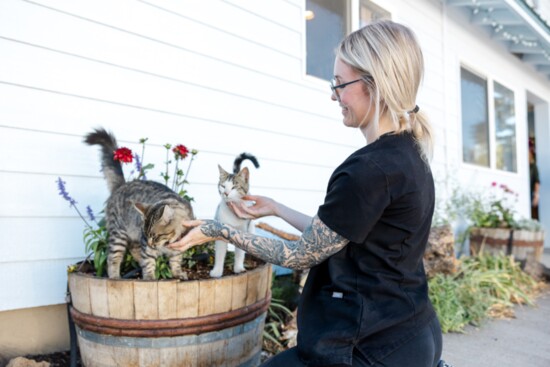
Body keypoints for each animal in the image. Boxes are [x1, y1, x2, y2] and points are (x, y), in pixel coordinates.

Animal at [82, 128, 194, 280]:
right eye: (148, 235)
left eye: (156, 236)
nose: (151, 243)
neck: (169, 242)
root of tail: (123, 185)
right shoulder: (145, 243)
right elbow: (149, 262)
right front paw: (150, 278)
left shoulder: (176, 249)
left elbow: (176, 262)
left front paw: (177, 273)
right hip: (119, 234)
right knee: (113, 258)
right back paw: (115, 276)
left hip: (131, 236)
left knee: (133, 251)